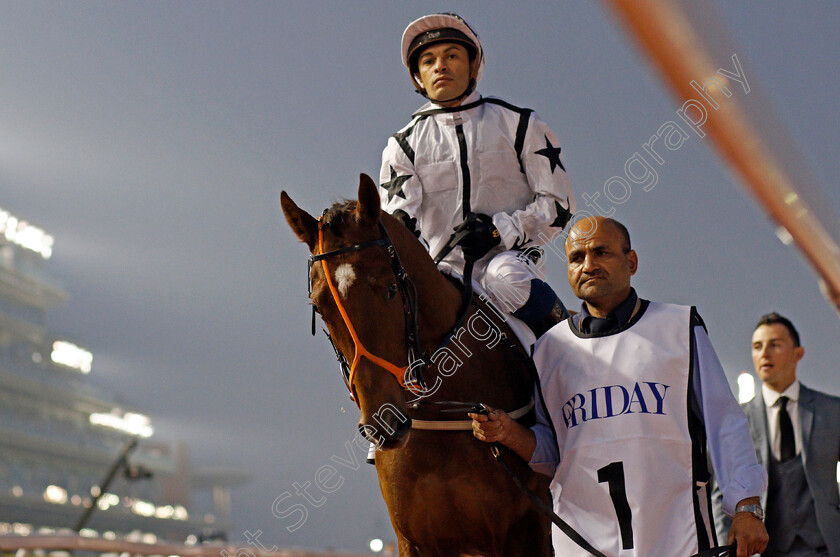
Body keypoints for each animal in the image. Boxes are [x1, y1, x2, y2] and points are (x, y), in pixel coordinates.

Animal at [282, 174, 556, 556]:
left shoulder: (526, 530)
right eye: (320, 307)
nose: (383, 424)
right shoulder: (414, 539)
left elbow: (552, 199)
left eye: (390, 289)